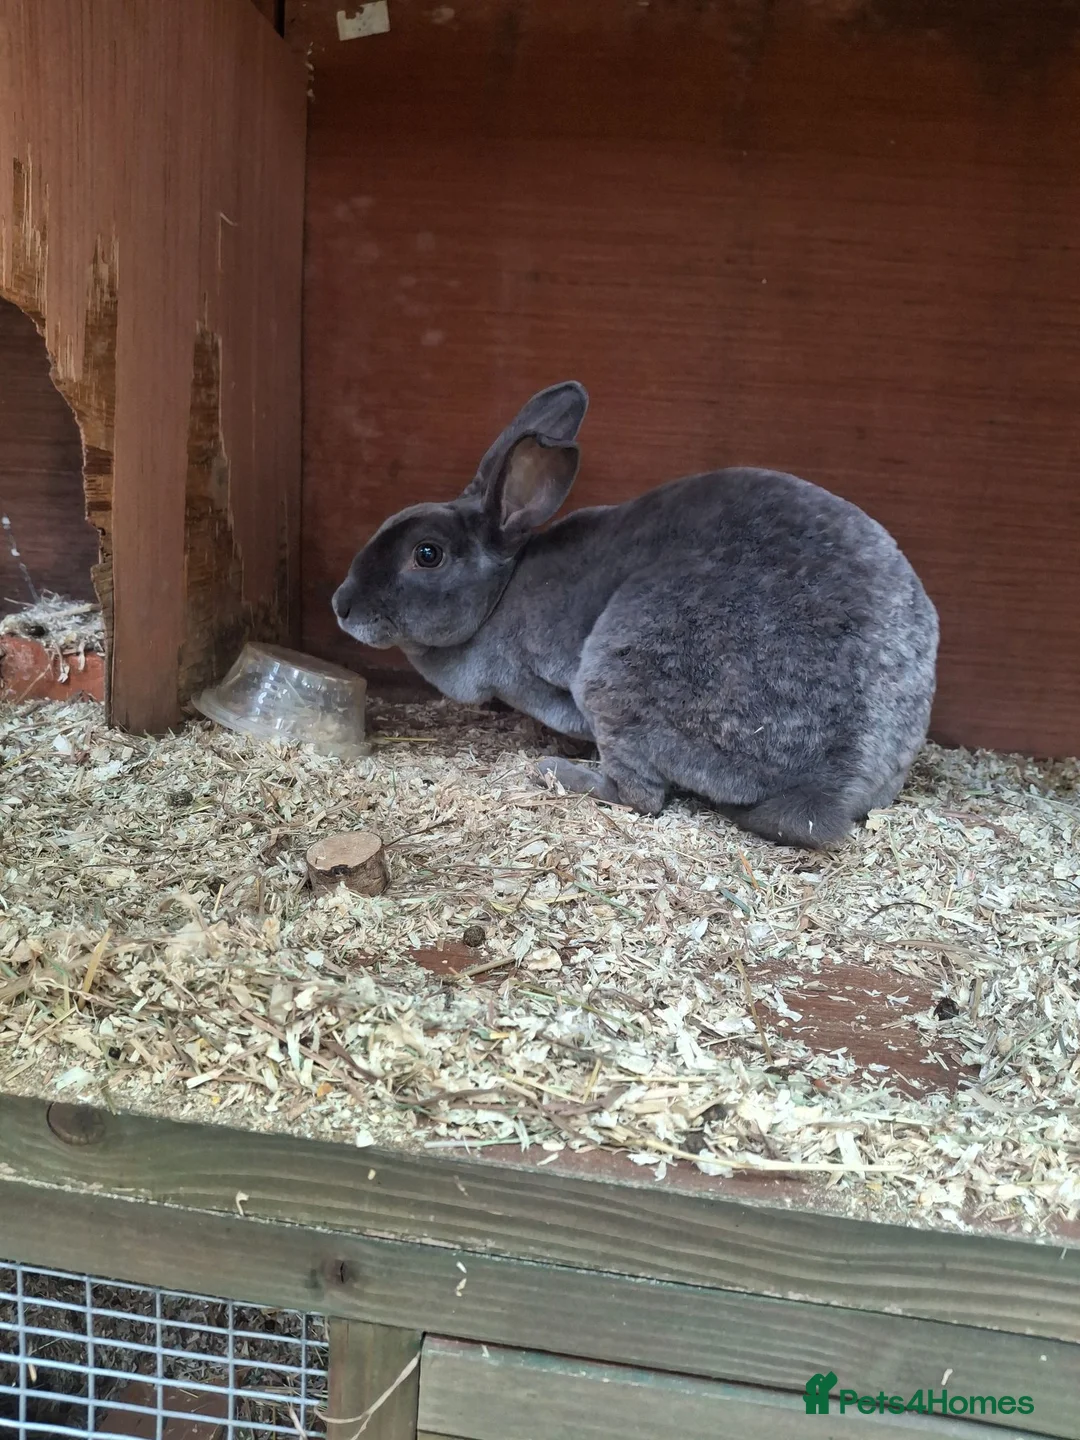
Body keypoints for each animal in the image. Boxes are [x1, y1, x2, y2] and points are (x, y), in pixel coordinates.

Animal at [333, 382, 939, 850]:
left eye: (426, 554)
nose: (341, 605)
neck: (501, 594)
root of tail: (829, 780)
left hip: (617, 675)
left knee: (641, 795)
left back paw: (559, 773)